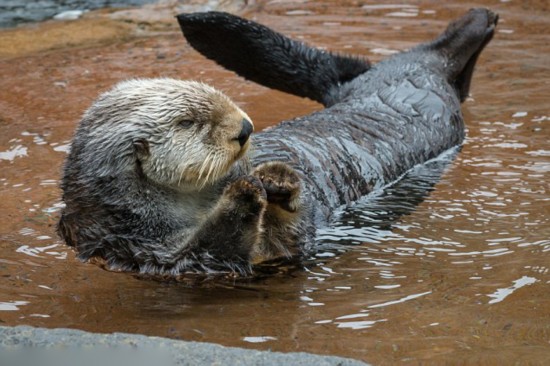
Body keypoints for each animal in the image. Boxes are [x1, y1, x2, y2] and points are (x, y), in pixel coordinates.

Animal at [58, 8, 498, 276]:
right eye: (188, 123)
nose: (245, 128)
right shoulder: (159, 253)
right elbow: (237, 245)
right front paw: (248, 193)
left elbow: (292, 231)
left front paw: (277, 178)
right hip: (431, 97)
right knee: (442, 65)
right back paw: (478, 25)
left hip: (387, 82)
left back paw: (481, 19)